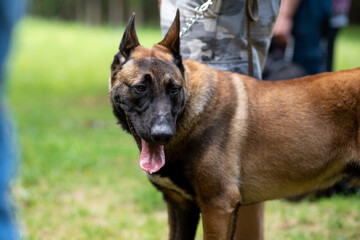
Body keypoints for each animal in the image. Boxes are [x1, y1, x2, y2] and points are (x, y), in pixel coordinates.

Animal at [108, 10, 360, 240]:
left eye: (174, 89)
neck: (191, 112)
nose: (163, 134)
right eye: (140, 88)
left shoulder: (218, 206)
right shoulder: (181, 205)